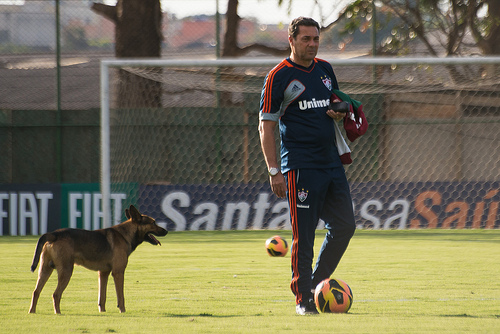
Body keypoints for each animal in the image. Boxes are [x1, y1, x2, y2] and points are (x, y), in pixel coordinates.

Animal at [28, 205, 167, 314]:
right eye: (153, 222)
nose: (166, 231)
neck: (125, 234)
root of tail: (54, 234)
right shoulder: (118, 273)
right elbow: (121, 296)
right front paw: (122, 311)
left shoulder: (103, 273)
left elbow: (102, 297)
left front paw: (103, 311)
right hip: (66, 271)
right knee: (56, 294)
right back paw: (58, 313)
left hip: (45, 270)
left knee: (36, 292)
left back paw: (32, 312)